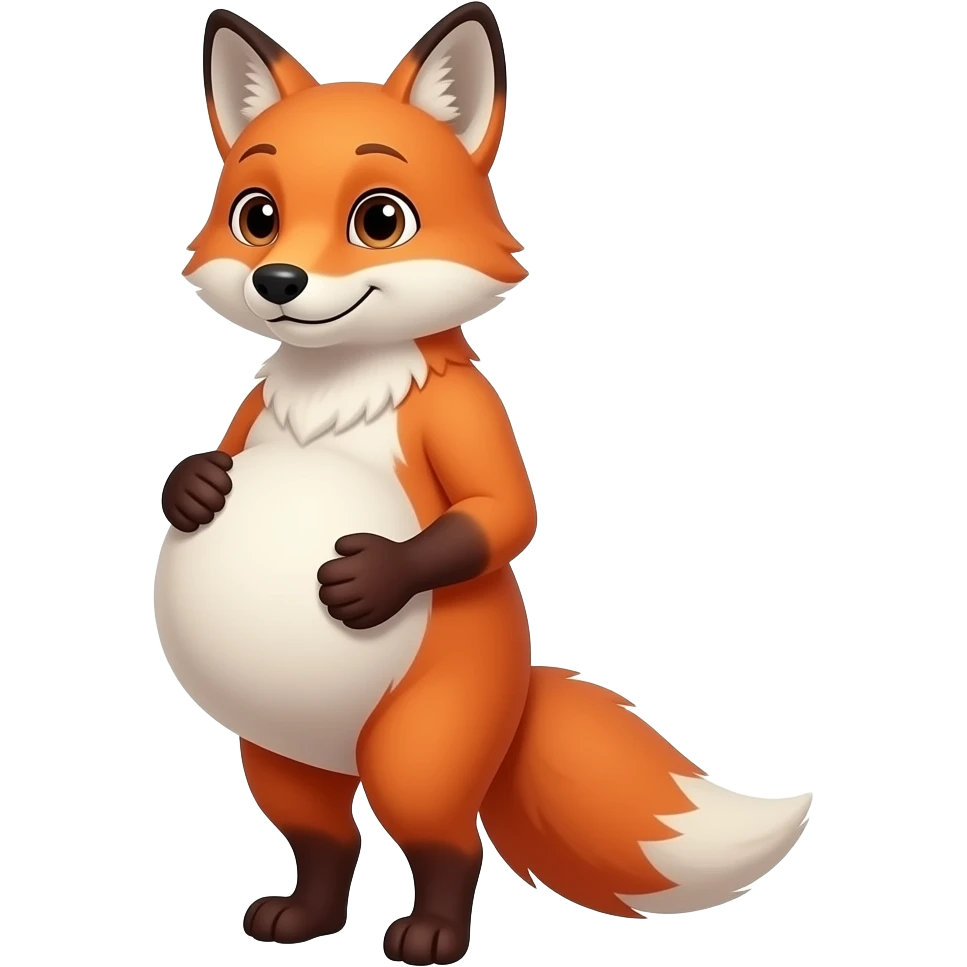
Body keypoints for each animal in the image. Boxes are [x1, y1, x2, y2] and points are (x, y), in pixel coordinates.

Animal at [153, 3, 814, 963]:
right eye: (257, 216)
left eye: (379, 219)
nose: (278, 281)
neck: (335, 384)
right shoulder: (251, 408)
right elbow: (205, 459)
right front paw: (196, 488)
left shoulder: (468, 415)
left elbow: (500, 516)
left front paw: (370, 578)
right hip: (279, 757)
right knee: (324, 837)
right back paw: (303, 918)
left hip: (419, 747)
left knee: (445, 841)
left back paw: (431, 934)